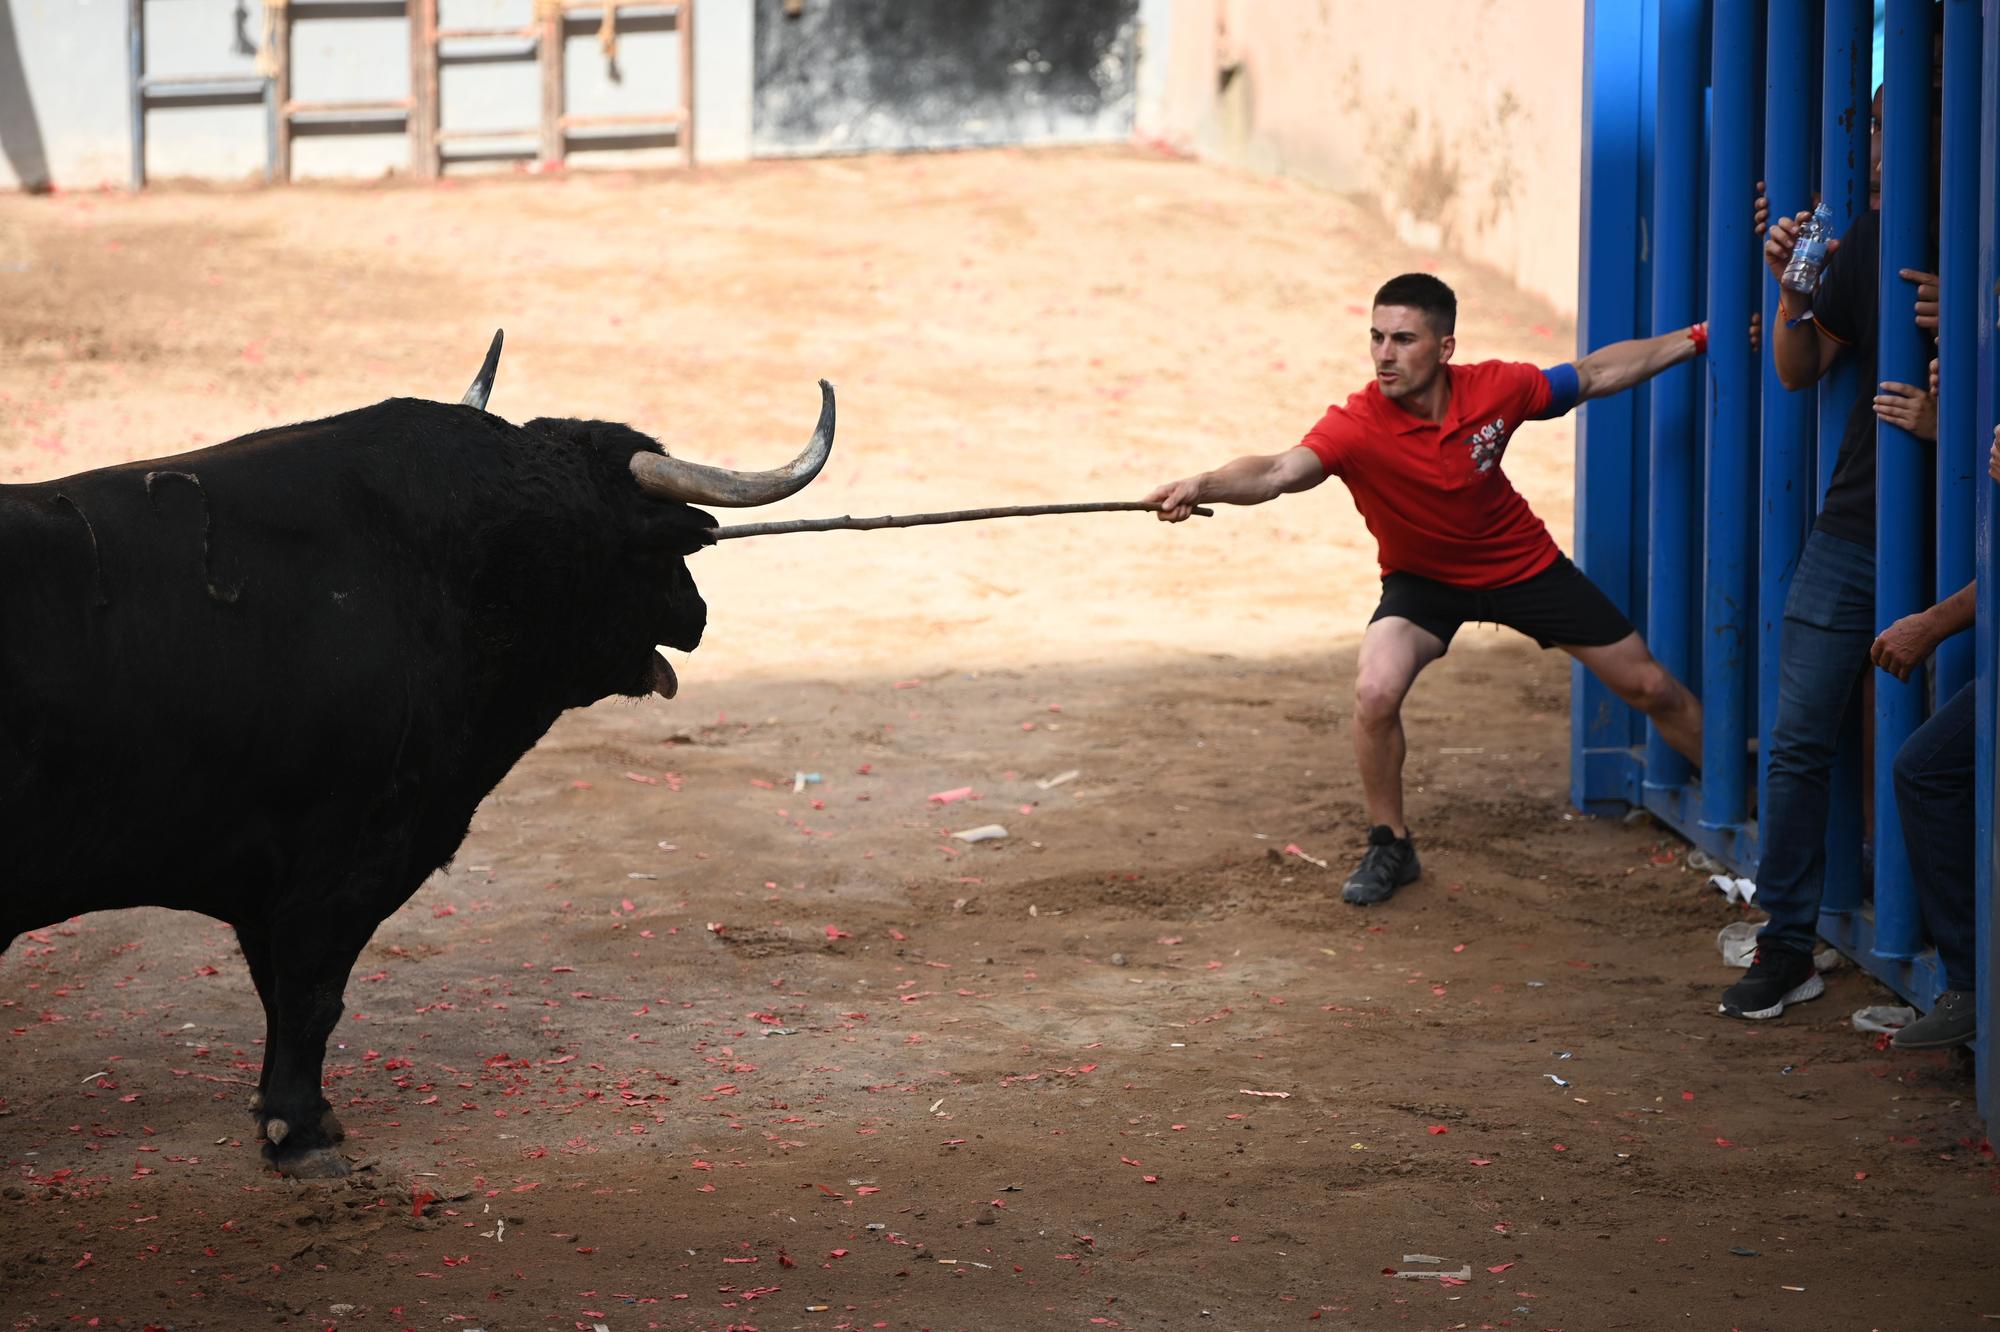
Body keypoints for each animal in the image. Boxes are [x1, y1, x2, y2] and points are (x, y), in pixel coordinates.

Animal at [0, 374, 832, 1176]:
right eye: (652, 548)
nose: (696, 614)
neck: (459, 564)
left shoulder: (270, 878)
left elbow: (278, 989)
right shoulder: (340, 860)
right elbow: (310, 993)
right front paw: (303, 1134)